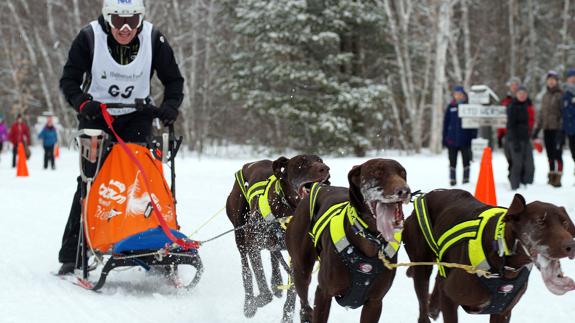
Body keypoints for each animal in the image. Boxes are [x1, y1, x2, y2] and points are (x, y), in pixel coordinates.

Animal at [227, 156, 330, 318]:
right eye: (301, 163)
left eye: (321, 160)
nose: (325, 168)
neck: (286, 210)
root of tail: (248, 165)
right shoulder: (253, 245)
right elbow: (263, 288)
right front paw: (254, 303)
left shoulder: (297, 258)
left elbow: (292, 291)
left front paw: (288, 315)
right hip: (240, 236)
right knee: (246, 270)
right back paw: (249, 301)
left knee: (273, 255)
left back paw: (276, 283)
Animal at [286, 159, 412, 323]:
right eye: (377, 172)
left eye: (403, 173)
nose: (404, 191)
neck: (370, 239)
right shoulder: (324, 293)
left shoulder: (374, 302)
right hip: (301, 270)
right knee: (304, 303)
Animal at [402, 190, 575, 323]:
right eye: (540, 222)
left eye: (565, 223)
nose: (571, 246)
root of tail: (424, 195)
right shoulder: (449, 299)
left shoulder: (502, 312)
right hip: (421, 267)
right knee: (423, 303)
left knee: (439, 280)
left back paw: (433, 307)